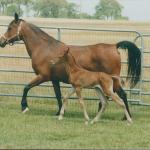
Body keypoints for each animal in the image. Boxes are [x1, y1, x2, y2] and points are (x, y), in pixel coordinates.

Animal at [0, 13, 142, 119]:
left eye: (10, 28)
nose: (2, 41)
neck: (44, 48)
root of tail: (114, 46)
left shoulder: (43, 76)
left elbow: (26, 88)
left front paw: (24, 107)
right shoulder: (54, 79)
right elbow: (58, 95)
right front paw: (59, 112)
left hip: (113, 81)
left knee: (122, 95)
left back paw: (126, 117)